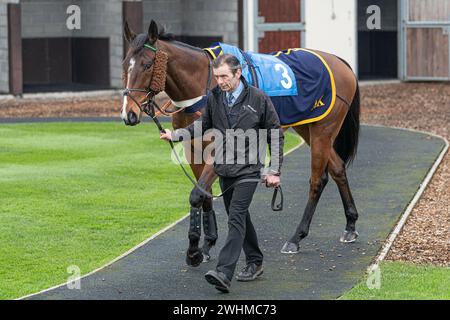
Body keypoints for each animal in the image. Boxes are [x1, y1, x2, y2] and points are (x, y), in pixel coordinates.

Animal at [121, 20, 360, 268]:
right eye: (125, 64)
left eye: (147, 65)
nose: (129, 114)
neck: (202, 87)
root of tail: (339, 61)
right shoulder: (193, 150)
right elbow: (204, 194)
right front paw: (207, 244)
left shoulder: (220, 151)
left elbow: (197, 194)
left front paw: (194, 250)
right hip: (307, 126)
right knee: (337, 168)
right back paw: (350, 225)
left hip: (324, 130)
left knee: (317, 180)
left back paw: (296, 237)